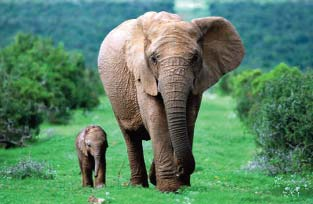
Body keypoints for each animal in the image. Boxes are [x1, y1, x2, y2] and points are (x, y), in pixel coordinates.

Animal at [97, 11, 244, 191]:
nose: (180, 169)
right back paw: (138, 186)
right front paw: (169, 188)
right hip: (115, 97)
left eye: (195, 57)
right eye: (153, 58)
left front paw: (182, 185)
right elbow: (156, 118)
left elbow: (189, 118)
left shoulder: (198, 79)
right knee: (130, 136)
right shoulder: (142, 74)